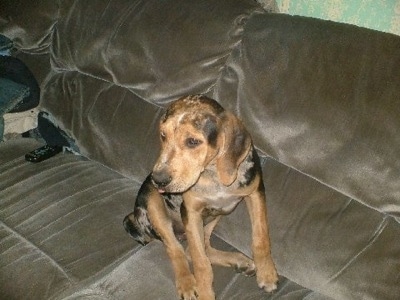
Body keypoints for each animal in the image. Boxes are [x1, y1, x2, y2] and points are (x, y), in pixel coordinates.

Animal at [123, 95, 276, 300]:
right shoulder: (191, 212)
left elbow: (261, 236)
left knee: (199, 247)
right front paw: (204, 291)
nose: (158, 180)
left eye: (193, 141)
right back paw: (187, 283)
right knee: (177, 249)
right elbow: (200, 262)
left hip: (214, 217)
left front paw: (267, 273)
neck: (213, 173)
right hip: (152, 202)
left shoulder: (256, 193)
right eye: (163, 135)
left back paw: (240, 261)